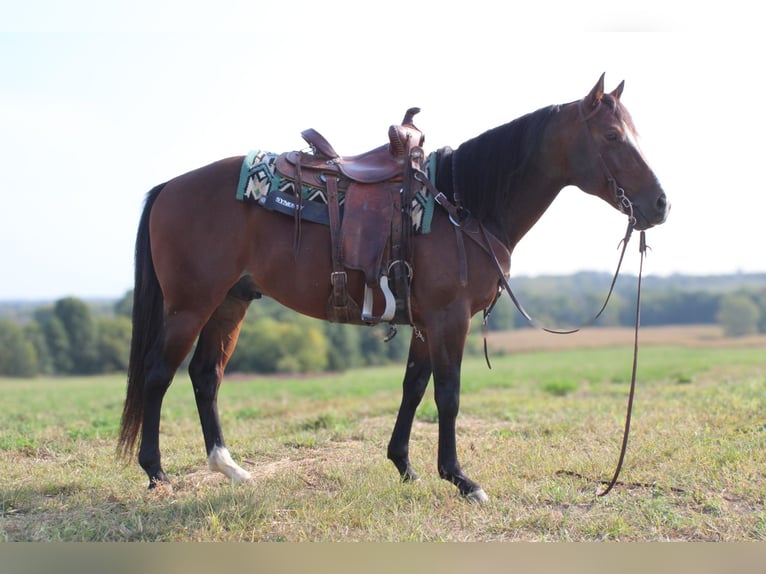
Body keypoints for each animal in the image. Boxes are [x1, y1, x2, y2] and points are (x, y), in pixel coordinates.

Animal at [118, 74, 669, 502]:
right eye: (613, 135)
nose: (661, 204)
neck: (463, 203)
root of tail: (170, 187)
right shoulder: (449, 317)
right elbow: (448, 393)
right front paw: (461, 479)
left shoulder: (426, 321)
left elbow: (413, 387)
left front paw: (404, 465)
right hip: (190, 306)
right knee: (158, 375)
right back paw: (157, 473)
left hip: (230, 302)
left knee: (205, 375)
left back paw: (228, 467)